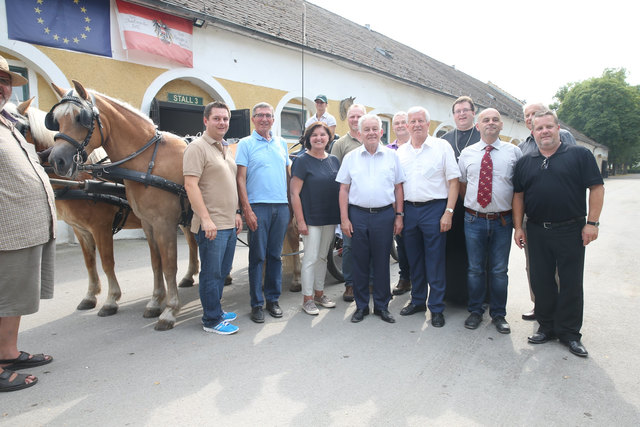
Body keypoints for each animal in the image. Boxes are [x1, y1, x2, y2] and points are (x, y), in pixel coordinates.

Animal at [8, 98, 198, 318]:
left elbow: (107, 262)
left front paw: (111, 300)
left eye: (21, 128)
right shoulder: (80, 229)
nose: (58, 161)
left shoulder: (102, 227)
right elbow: (90, 262)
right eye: (57, 122)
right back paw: (190, 275)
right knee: (192, 243)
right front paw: (90, 296)